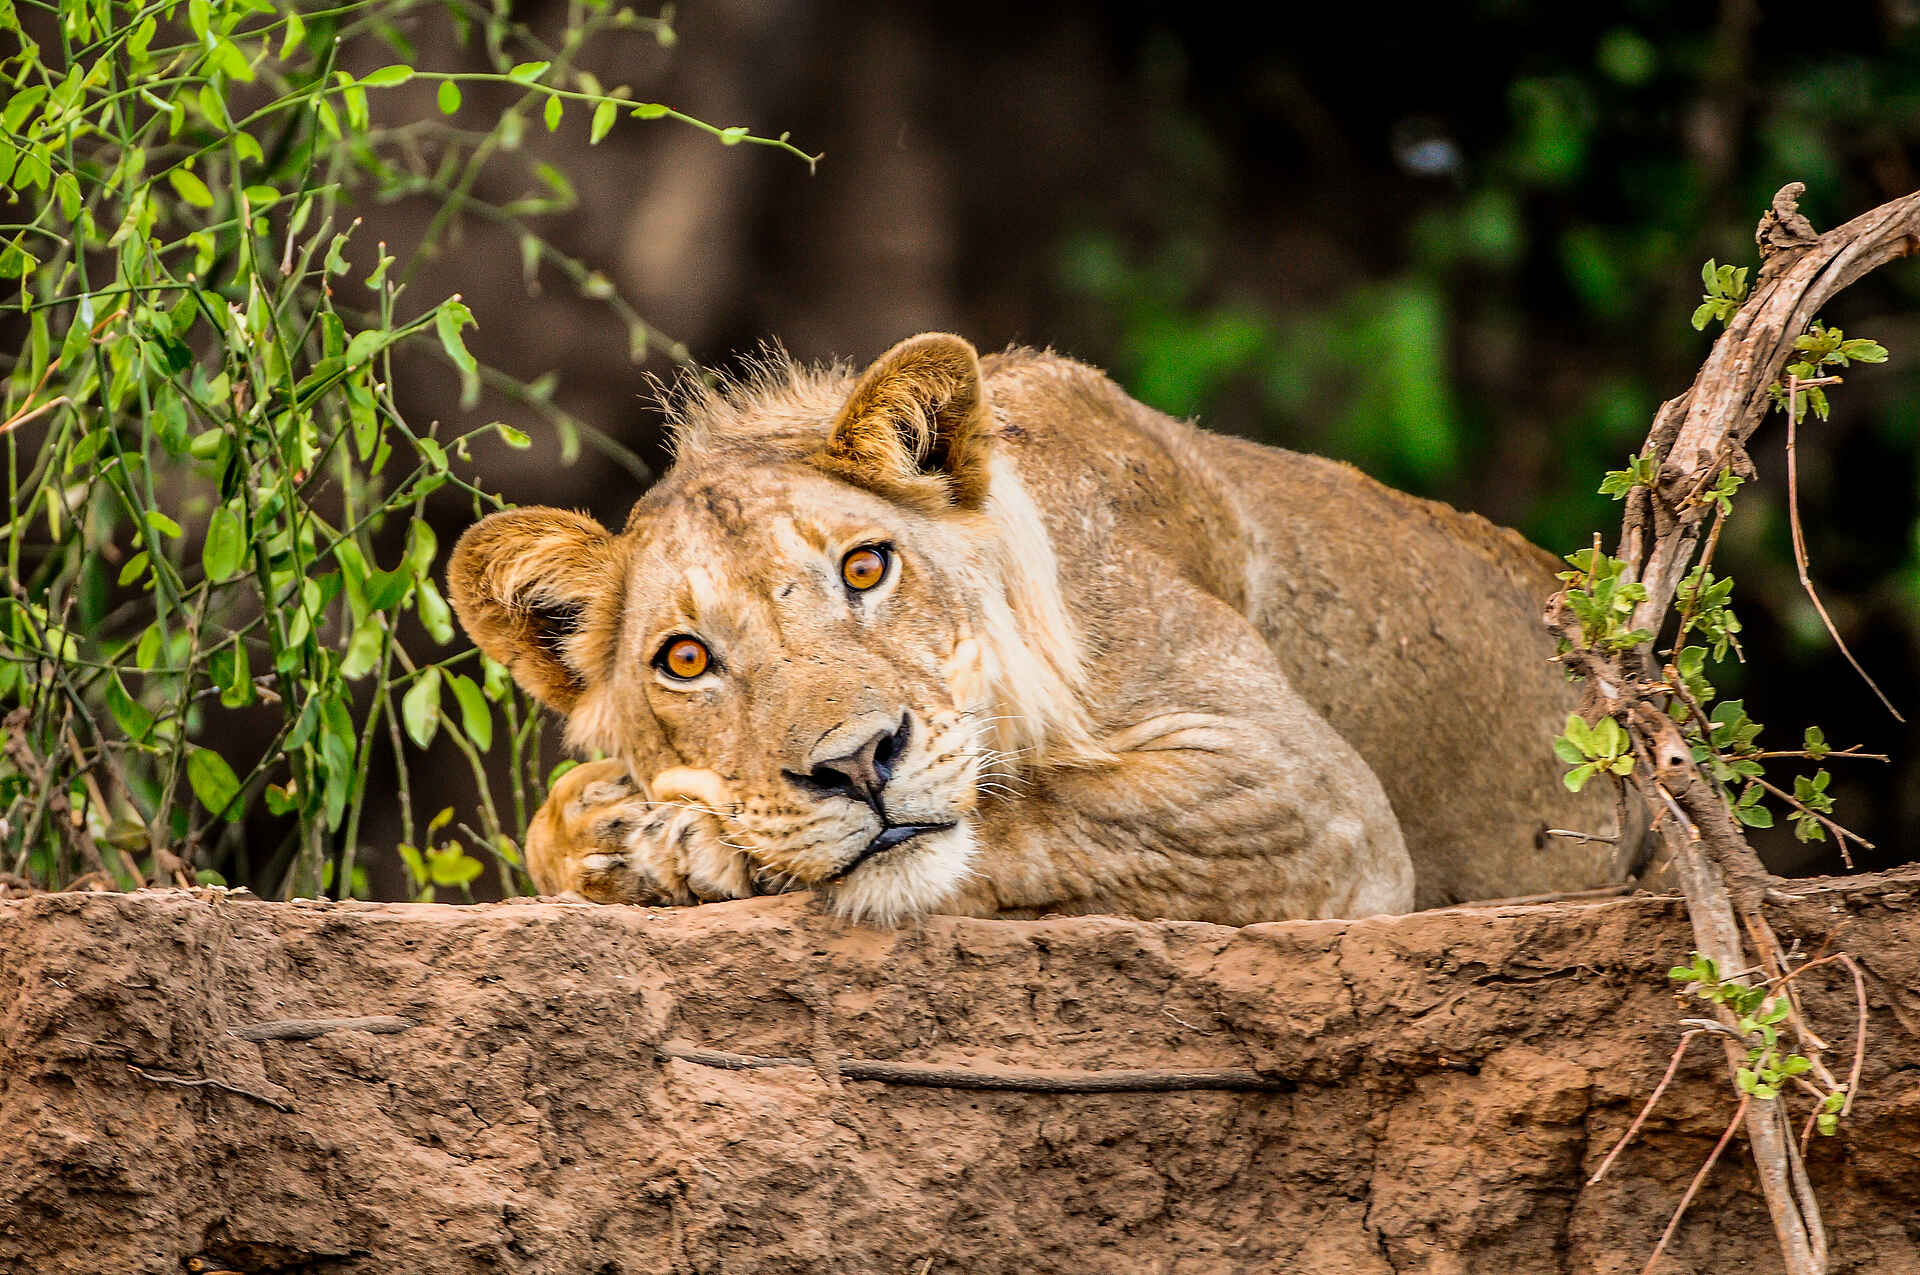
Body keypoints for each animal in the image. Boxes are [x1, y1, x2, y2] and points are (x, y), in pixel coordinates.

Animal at [450, 333, 1634, 926]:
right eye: (686, 659)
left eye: (866, 566)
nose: (856, 765)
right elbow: (546, 826)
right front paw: (610, 836)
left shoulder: (1315, 802)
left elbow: (1041, 808)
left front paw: (685, 846)